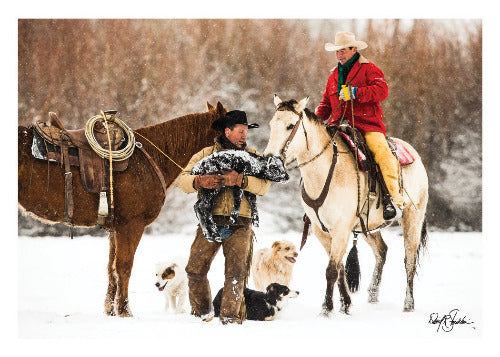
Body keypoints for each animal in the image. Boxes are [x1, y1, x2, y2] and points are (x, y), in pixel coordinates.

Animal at [18, 101, 227, 316]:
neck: (147, 161)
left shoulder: (115, 229)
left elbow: (111, 269)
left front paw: (111, 310)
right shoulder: (131, 225)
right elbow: (124, 267)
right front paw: (125, 310)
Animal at [264, 95, 428, 314]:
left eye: (291, 125)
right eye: (272, 124)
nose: (270, 163)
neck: (325, 171)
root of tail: (413, 153)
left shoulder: (341, 227)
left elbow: (332, 270)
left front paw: (326, 308)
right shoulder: (322, 230)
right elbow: (340, 267)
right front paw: (345, 304)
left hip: (413, 218)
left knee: (409, 260)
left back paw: (408, 304)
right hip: (369, 226)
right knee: (381, 251)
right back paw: (373, 294)